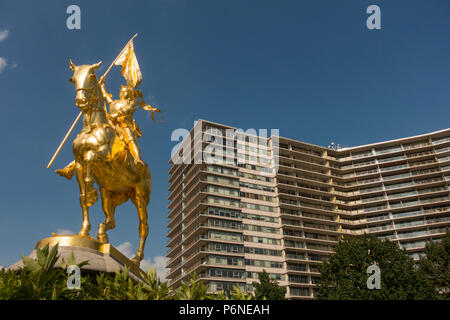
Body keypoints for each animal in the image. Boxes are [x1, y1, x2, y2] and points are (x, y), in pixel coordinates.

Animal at [66, 60, 151, 264]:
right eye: (73, 78)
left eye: (92, 76)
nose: (81, 101)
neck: (92, 126)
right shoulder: (79, 164)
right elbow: (82, 197)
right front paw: (84, 232)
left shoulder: (105, 156)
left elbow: (91, 158)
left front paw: (91, 192)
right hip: (110, 194)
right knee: (111, 221)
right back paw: (102, 235)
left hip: (140, 195)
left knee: (143, 227)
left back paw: (136, 259)